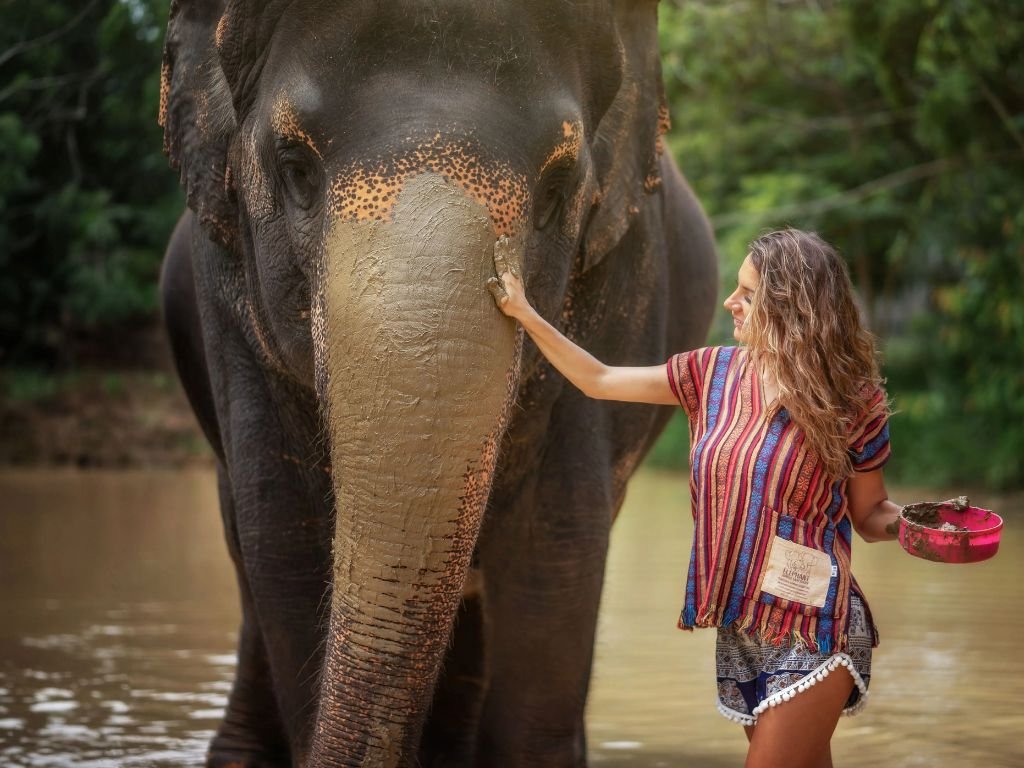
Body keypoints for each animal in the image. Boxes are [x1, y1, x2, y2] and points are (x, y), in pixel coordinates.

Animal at [157, 0, 717, 766]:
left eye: (558, 188)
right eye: (295, 167)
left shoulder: (620, 283)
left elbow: (555, 547)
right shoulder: (227, 300)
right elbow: (284, 535)